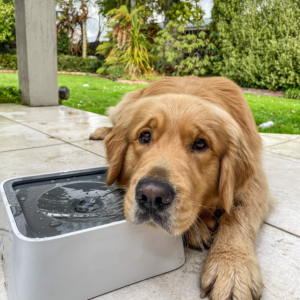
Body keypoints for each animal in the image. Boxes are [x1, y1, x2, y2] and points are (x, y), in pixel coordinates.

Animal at [89, 76, 270, 298]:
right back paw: (103, 131)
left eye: (200, 143)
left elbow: (238, 213)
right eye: (145, 136)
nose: (152, 196)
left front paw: (232, 265)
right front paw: (197, 229)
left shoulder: (255, 181)